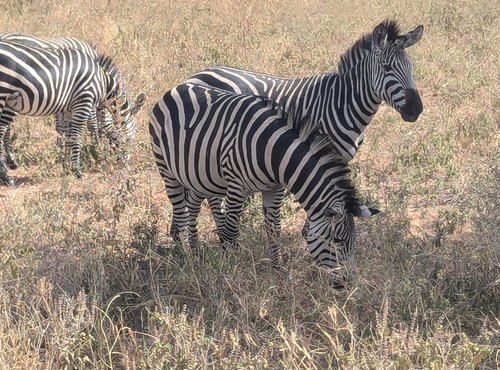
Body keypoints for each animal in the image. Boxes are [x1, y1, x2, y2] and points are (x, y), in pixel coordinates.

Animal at [0, 32, 146, 171]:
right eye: (129, 138)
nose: (127, 164)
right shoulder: (83, 97)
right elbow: (91, 124)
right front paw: (96, 149)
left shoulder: (63, 100)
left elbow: (63, 128)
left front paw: (62, 154)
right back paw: (11, 161)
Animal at [148, 83, 378, 286]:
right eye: (338, 240)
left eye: (354, 242)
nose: (346, 284)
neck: (275, 153)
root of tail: (176, 88)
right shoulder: (237, 186)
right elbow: (231, 232)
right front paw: (228, 272)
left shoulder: (274, 189)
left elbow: (274, 229)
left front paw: (279, 271)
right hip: (166, 169)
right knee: (181, 213)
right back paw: (184, 257)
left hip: (201, 176)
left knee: (193, 206)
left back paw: (196, 254)